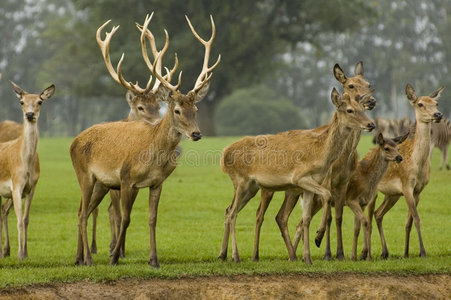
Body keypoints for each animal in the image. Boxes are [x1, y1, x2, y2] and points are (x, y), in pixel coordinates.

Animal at [0, 81, 55, 258]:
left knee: (3, 210)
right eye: (21, 102)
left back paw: (5, 251)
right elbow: (18, 220)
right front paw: (19, 253)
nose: (30, 114)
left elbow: (25, 219)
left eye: (40, 101)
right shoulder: (16, 184)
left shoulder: (32, 187)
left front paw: (25, 253)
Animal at [69, 14, 222, 268]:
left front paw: (154, 260)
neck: (153, 156)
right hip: (85, 175)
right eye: (177, 110)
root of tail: (73, 142)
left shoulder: (157, 183)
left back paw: (79, 258)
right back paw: (89, 259)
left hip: (102, 183)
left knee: (85, 210)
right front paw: (114, 258)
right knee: (82, 213)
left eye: (196, 109)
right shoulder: (126, 179)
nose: (197, 134)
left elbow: (152, 219)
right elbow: (125, 218)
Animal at [221, 87, 376, 264]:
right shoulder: (300, 177)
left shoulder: (309, 184)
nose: (371, 124)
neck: (320, 154)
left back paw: (223, 255)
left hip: (251, 187)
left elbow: (306, 218)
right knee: (233, 213)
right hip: (241, 181)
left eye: (362, 108)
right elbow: (327, 195)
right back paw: (236, 256)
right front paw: (318, 236)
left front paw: (308, 258)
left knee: (229, 209)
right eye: (350, 110)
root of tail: (223, 155)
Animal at [348, 132, 408, 262]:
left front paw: (355, 256)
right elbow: (366, 223)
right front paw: (365, 255)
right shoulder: (353, 199)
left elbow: (357, 228)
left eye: (398, 148)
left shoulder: (361, 202)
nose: (399, 157)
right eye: (386, 148)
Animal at [370, 83, 444, 258]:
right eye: (420, 104)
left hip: (392, 195)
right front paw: (422, 252)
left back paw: (384, 252)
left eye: (436, 103)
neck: (418, 165)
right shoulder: (406, 185)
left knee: (378, 213)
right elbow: (416, 218)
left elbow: (409, 221)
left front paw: (406, 252)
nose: (438, 114)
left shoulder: (418, 190)